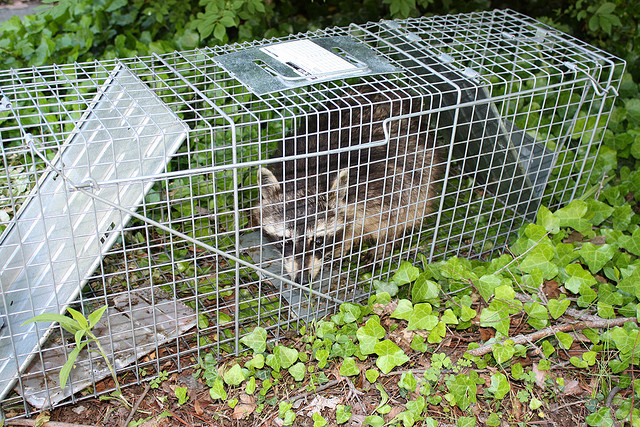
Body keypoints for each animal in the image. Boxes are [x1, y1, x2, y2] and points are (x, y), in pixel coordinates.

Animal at [254, 84, 442, 285]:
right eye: (286, 241)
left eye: (318, 241)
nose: (302, 280)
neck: (308, 177)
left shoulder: (379, 185)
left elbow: (388, 218)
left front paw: (356, 244)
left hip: (421, 163)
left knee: (411, 206)